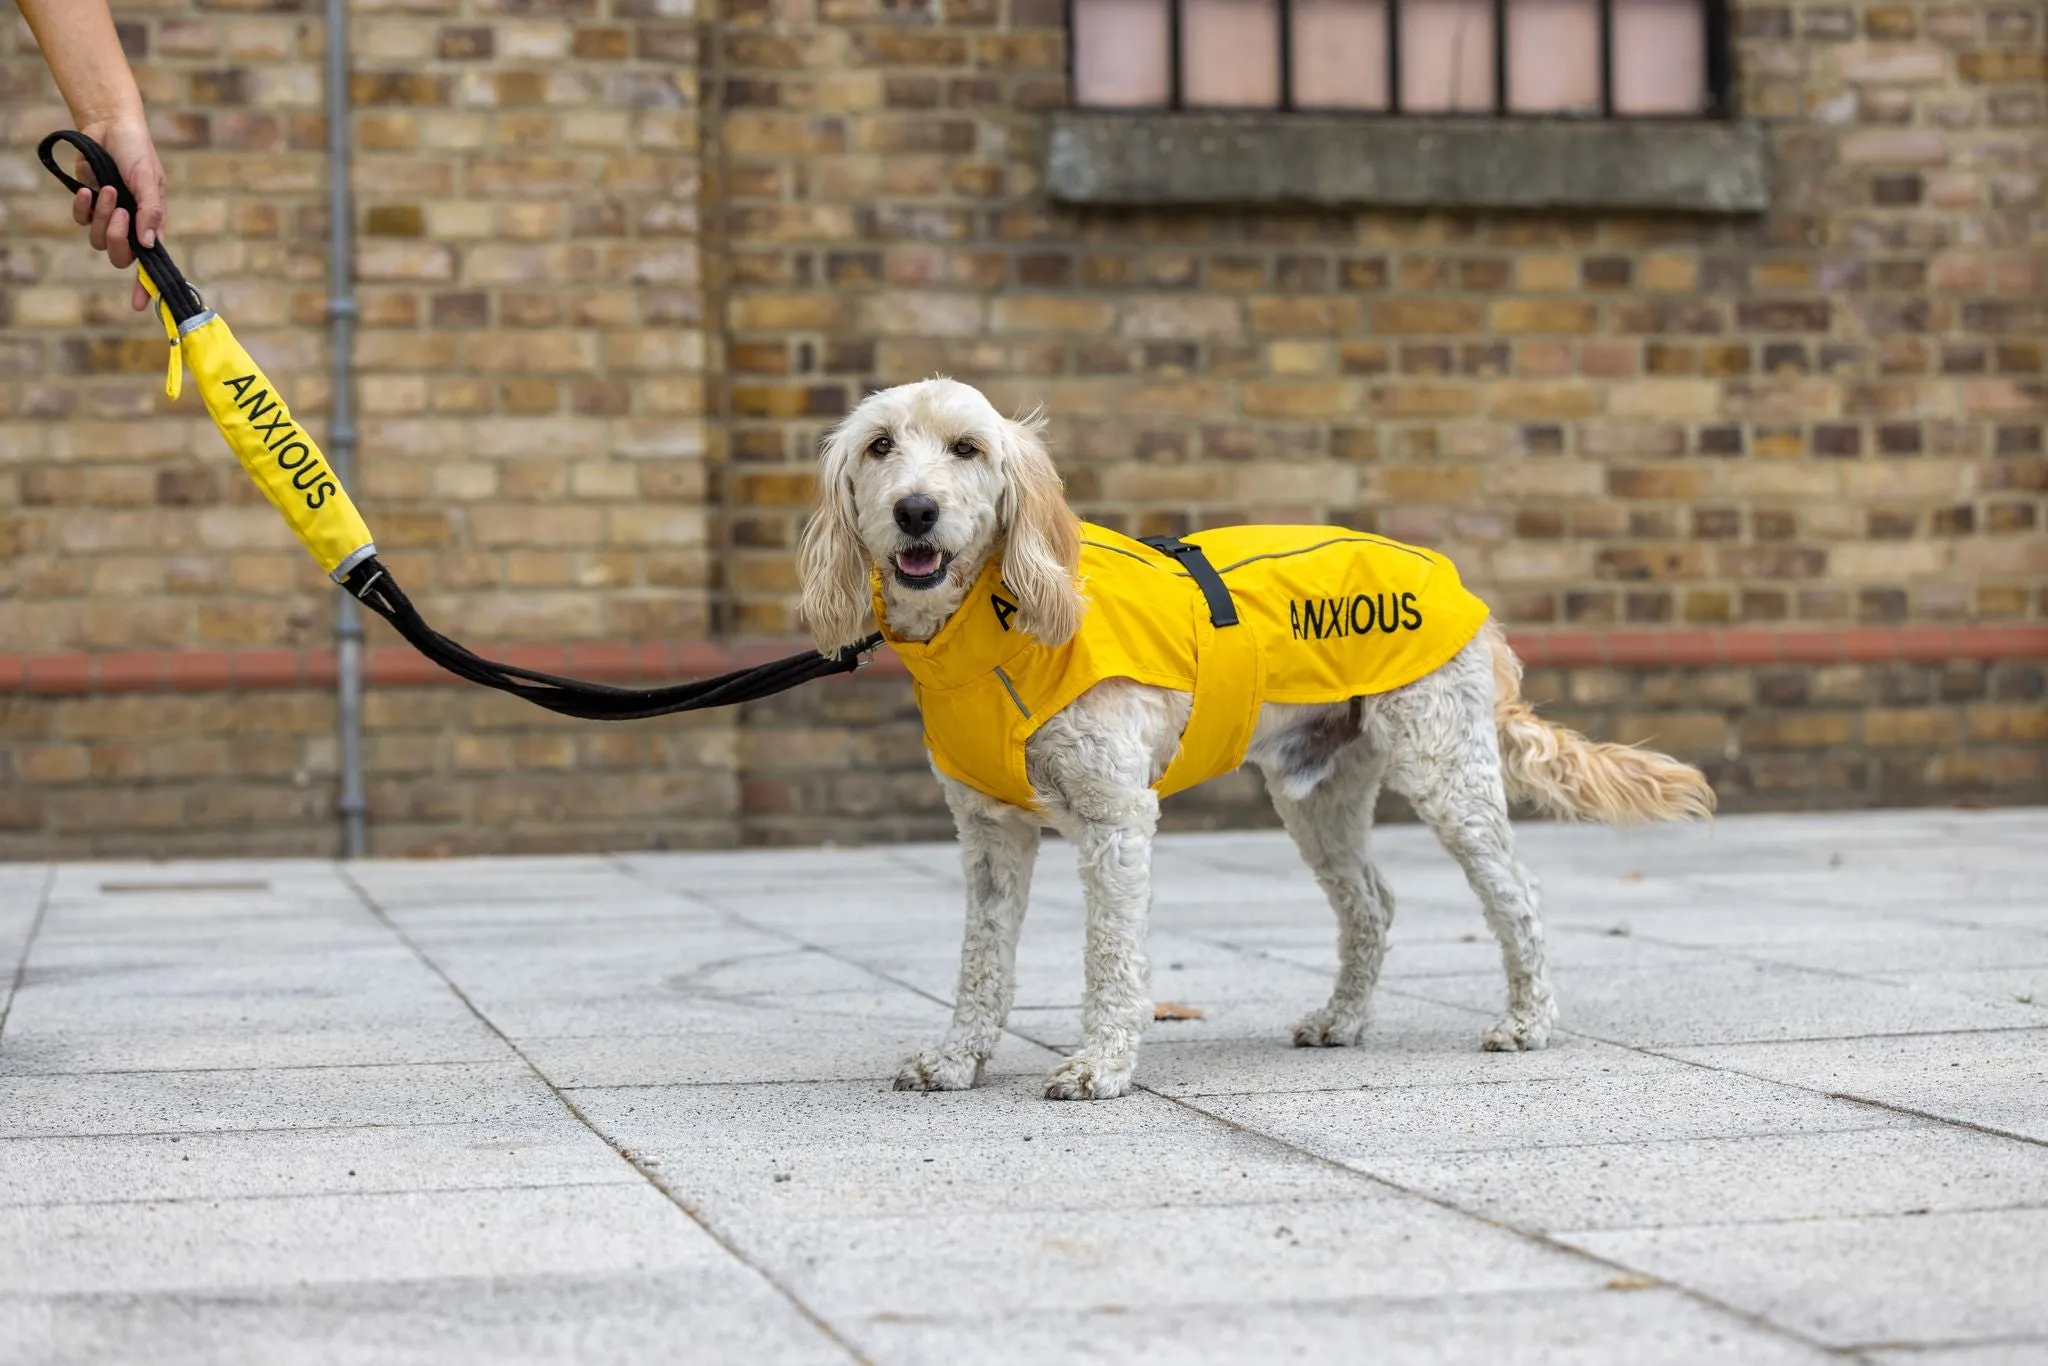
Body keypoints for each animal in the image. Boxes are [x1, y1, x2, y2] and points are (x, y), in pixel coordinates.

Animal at [798, 378, 1712, 1105]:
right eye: (881, 446)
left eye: (967, 448)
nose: (915, 510)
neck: (991, 630)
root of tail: (1465, 595)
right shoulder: (989, 833)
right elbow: (980, 960)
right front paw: (957, 1060)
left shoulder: (1116, 819)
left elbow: (1111, 957)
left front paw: (1101, 1066)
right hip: (1322, 796)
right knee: (1372, 904)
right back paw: (1342, 1020)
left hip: (1446, 771)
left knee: (1518, 895)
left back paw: (1526, 1021)